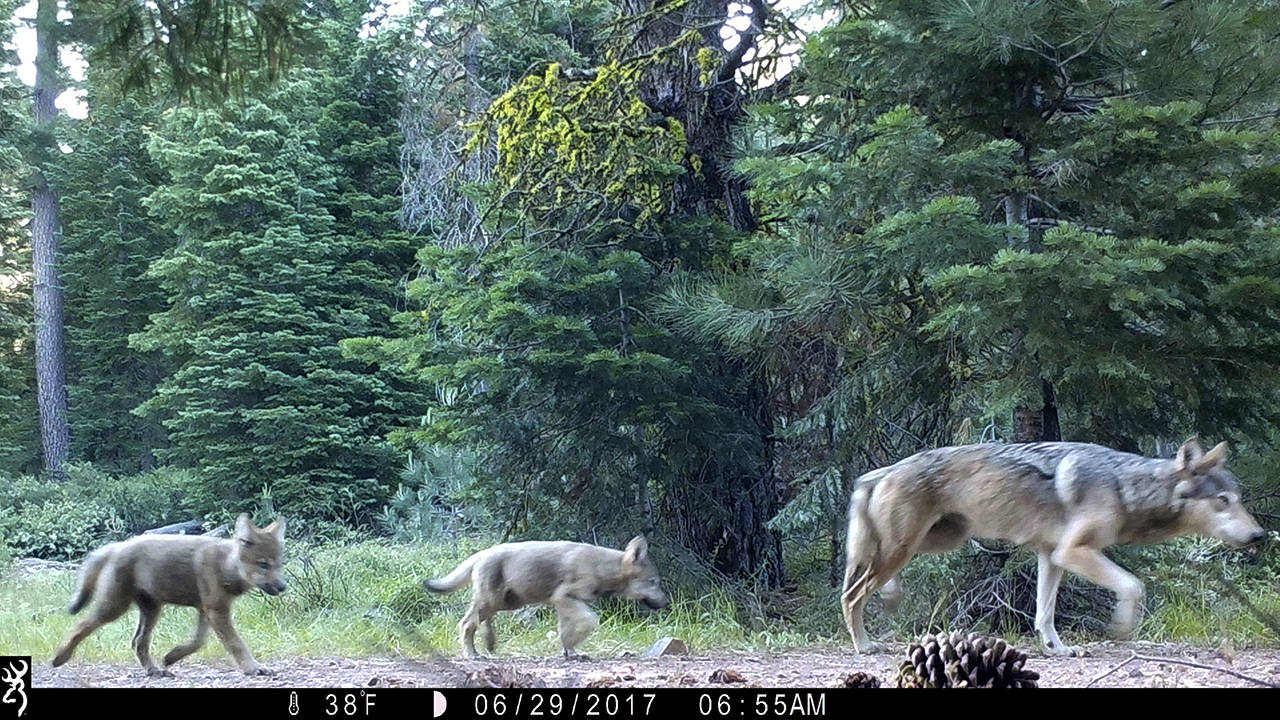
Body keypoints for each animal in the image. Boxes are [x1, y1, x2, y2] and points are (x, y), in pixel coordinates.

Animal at [52, 509, 288, 671]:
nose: (283, 586)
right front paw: (253, 668)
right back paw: (60, 657)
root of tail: (118, 546)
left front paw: (171, 657)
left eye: (279, 565)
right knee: (81, 624)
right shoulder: (216, 610)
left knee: (138, 641)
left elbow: (197, 642)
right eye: (263, 565)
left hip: (152, 610)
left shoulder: (206, 610)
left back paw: (154, 671)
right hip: (114, 608)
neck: (225, 565)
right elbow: (236, 644)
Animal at [430, 532, 670, 655]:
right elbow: (589, 621)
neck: (601, 568)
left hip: (505, 603)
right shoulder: (564, 598)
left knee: (482, 622)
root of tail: (481, 553)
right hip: (493, 601)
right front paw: (571, 648)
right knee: (466, 623)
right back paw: (473, 654)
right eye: (654, 583)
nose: (667, 603)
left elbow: (565, 632)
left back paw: (490, 645)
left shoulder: (563, 604)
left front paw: (570, 652)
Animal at [839, 440, 1269, 653]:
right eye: (1222, 501)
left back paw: (889, 598)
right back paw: (864, 645)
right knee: (852, 594)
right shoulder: (1073, 552)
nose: (1260, 536)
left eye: (1239, 499)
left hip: (937, 542)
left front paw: (1057, 649)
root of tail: (879, 472)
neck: (1125, 488)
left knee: (870, 582)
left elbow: (1044, 614)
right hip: (905, 548)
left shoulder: (1051, 555)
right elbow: (1133, 585)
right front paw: (1121, 629)